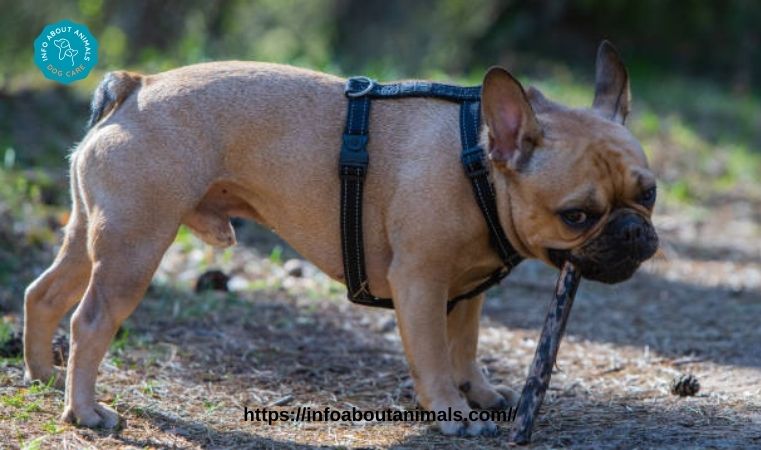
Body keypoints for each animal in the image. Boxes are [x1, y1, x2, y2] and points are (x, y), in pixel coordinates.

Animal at [22, 42, 652, 436]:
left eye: (647, 193)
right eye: (577, 215)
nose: (634, 231)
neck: (479, 164)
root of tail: (136, 88)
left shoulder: (467, 288)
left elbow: (465, 345)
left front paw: (479, 391)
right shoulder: (420, 283)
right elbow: (434, 355)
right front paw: (451, 411)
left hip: (90, 233)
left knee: (44, 293)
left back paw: (42, 374)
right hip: (135, 246)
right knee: (90, 320)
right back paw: (85, 412)